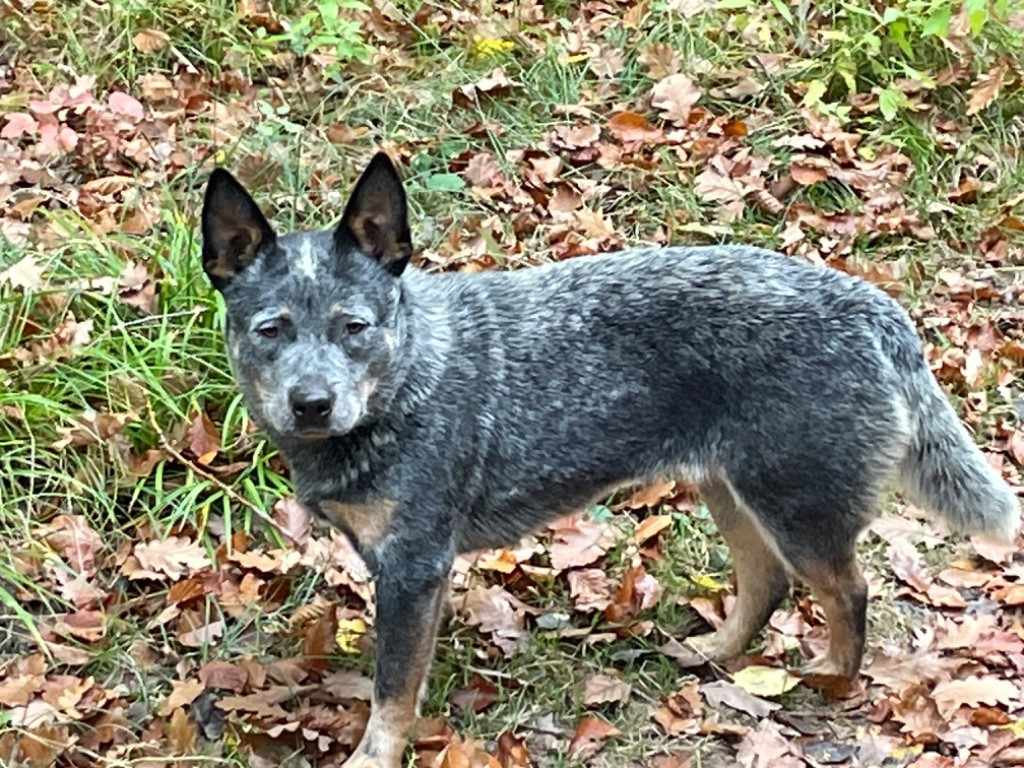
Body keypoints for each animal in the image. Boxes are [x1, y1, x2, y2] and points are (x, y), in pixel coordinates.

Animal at [199, 151, 1015, 768]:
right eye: (271, 329)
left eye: (354, 327)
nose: (311, 402)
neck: (406, 382)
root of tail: (874, 307)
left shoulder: (414, 566)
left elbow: (391, 693)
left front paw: (374, 755)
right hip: (731, 489)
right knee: (766, 583)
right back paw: (715, 654)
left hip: (796, 504)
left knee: (848, 591)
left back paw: (831, 683)